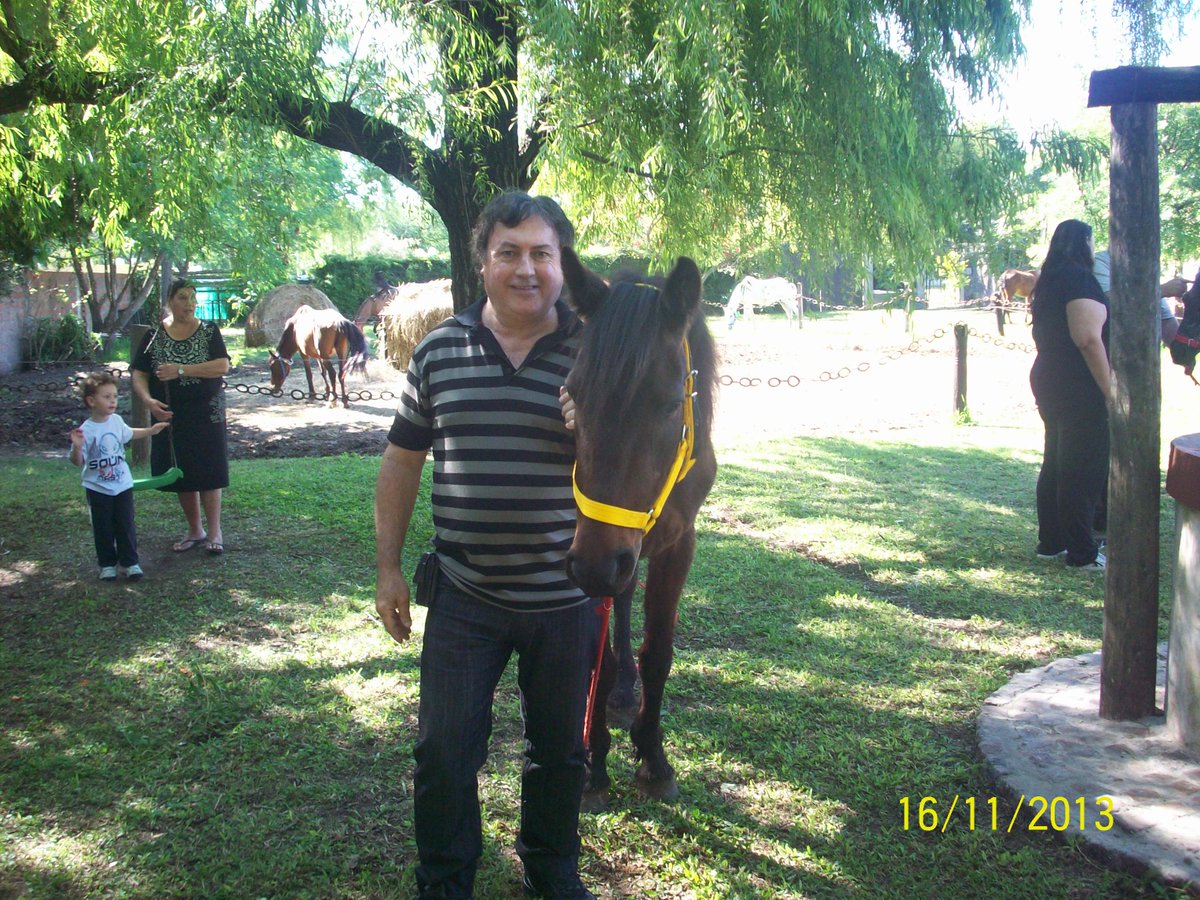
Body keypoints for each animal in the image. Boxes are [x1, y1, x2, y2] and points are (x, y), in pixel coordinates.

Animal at [560, 248, 718, 811]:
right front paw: (594, 764)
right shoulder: (584, 548)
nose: (595, 566)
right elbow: (596, 660)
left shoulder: (678, 544)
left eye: (670, 403)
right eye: (573, 395)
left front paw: (652, 757)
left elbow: (658, 654)